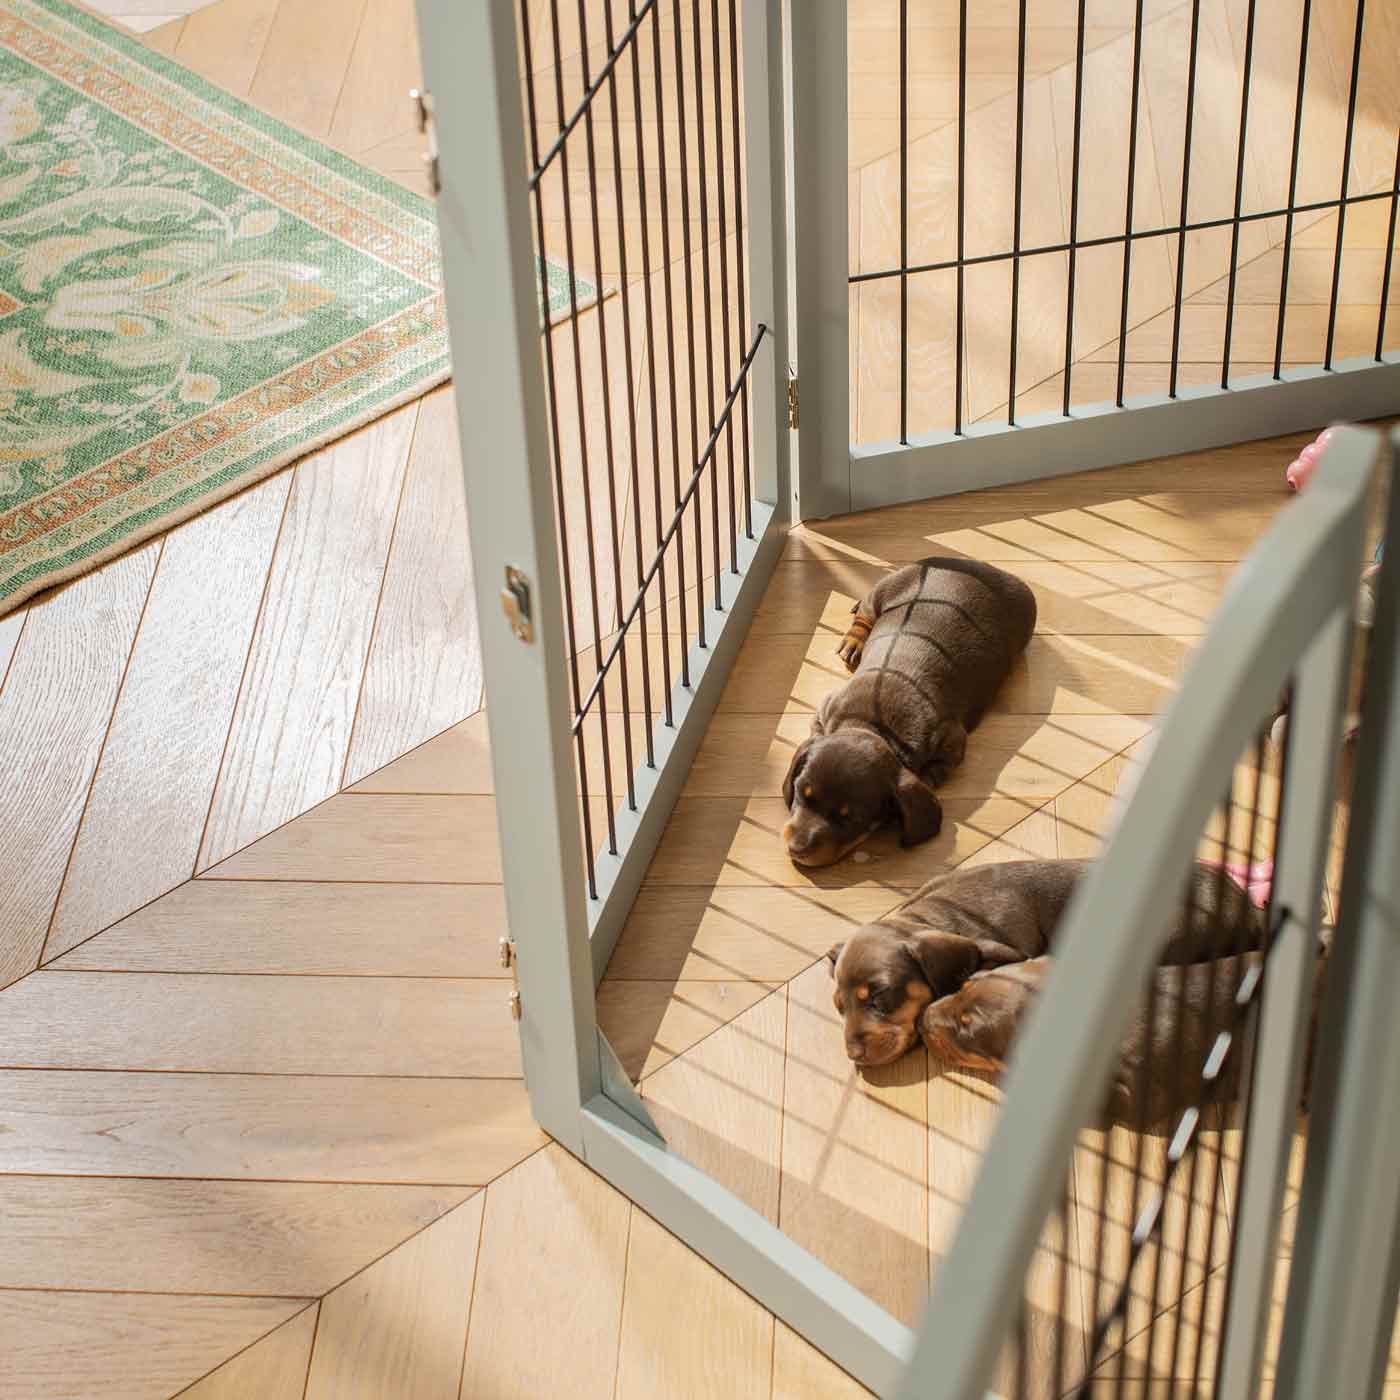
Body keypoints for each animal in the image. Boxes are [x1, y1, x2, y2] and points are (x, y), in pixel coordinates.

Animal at [784, 554, 1036, 862]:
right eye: (800, 791)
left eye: (851, 819)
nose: (797, 849)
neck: (873, 725)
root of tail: (977, 566)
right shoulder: (826, 708)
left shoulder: (951, 740)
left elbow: (938, 768)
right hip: (885, 590)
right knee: (866, 611)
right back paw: (855, 640)